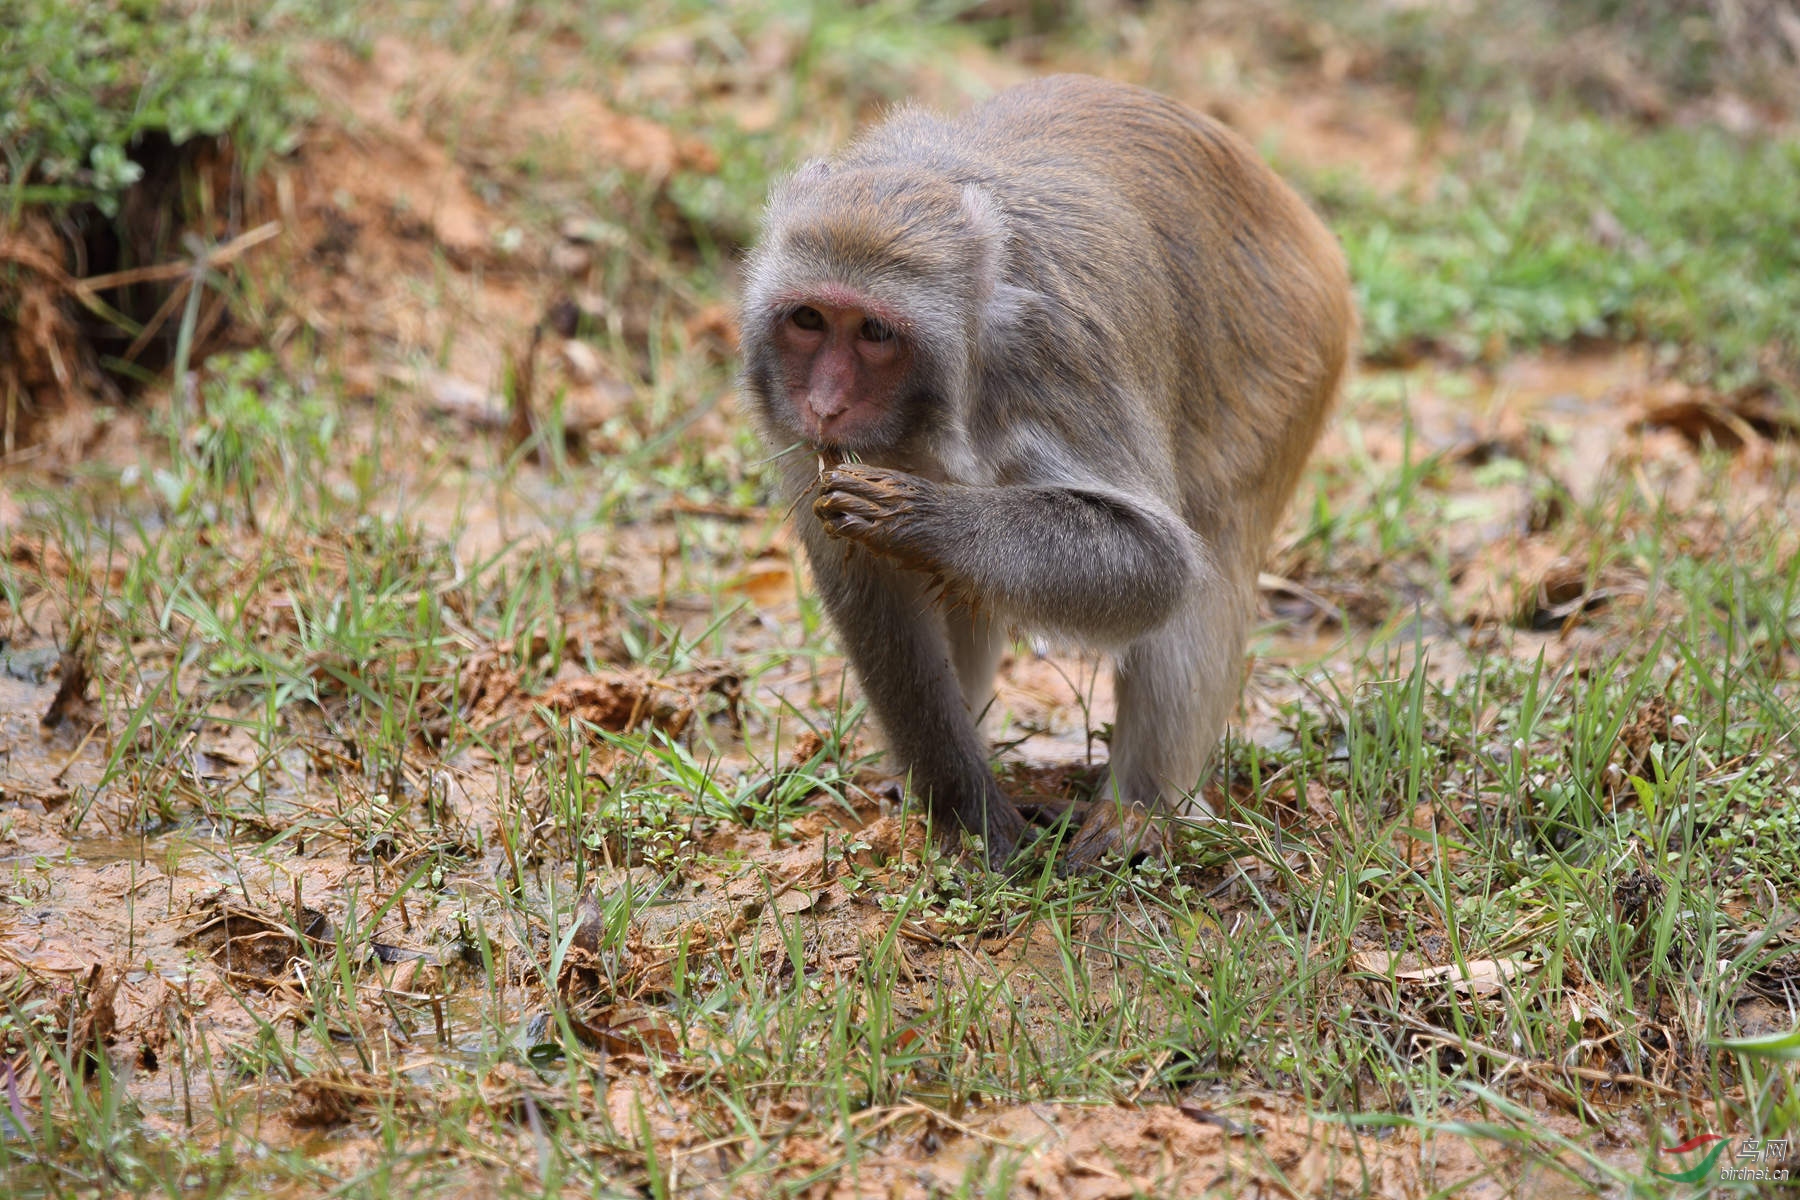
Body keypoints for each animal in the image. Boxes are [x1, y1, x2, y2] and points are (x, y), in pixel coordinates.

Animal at [734, 75, 1353, 867]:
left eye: (873, 332)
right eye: (809, 320)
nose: (825, 403)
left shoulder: (1060, 353)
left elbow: (1155, 564)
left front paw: (920, 516)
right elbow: (878, 596)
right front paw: (966, 809)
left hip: (1288, 354)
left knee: (1207, 560)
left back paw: (1138, 813)